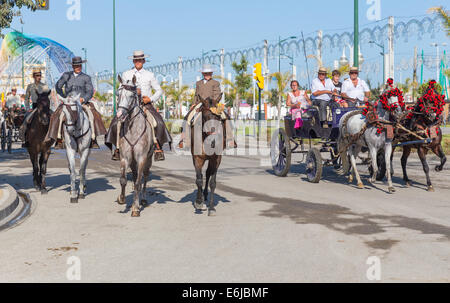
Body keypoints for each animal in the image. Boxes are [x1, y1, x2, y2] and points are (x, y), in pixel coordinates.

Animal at [115, 76, 156, 218]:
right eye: (118, 94)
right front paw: (121, 199)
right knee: (133, 175)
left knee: (145, 176)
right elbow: (123, 180)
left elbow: (138, 182)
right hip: (132, 162)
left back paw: (142, 199)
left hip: (148, 160)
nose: (120, 115)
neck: (133, 130)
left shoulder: (141, 158)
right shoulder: (125, 158)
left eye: (132, 95)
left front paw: (136, 208)